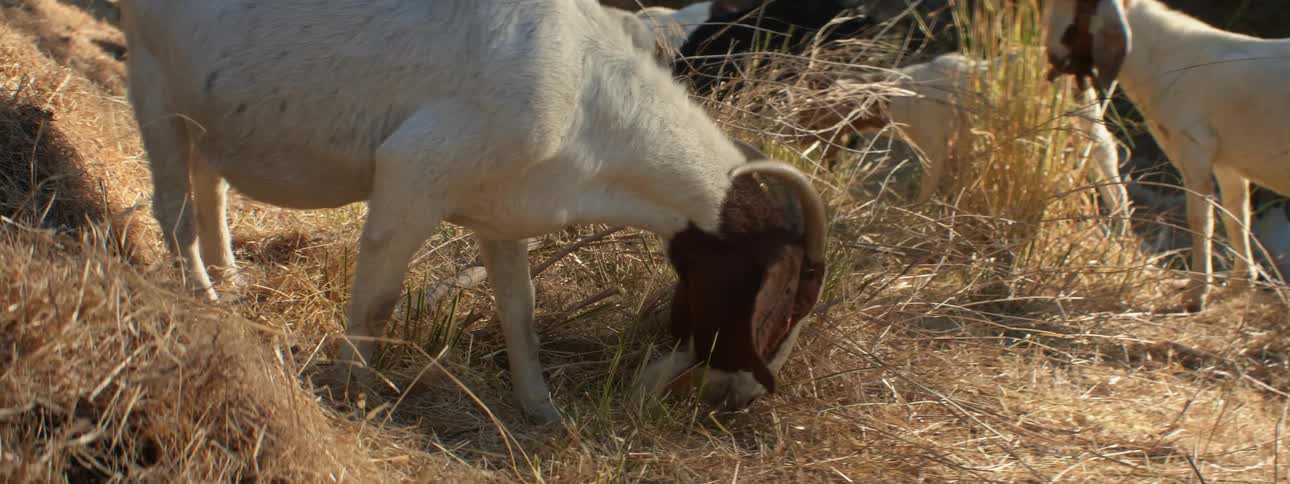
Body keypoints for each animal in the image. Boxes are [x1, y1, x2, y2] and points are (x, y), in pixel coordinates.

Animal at [117, 0, 829, 424]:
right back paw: (203, 298)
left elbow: (521, 311)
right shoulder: (413, 171)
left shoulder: (502, 212)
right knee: (173, 206)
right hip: (152, 73)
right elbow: (379, 301)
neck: (595, 105)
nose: (739, 397)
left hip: (208, 108)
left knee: (210, 184)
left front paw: (541, 412)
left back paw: (234, 286)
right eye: (785, 307)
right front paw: (350, 390)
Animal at [797, 53, 1131, 226]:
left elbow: (926, 191)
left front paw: (915, 219)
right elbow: (952, 189)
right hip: (1086, 124)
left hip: (1079, 125)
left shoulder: (934, 146)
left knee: (1114, 185)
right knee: (1111, 178)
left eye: (807, 113)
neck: (890, 97)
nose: (796, 135)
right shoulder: (960, 145)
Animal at [1045, 0, 1290, 311]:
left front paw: (1196, 295)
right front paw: (1238, 284)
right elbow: (1236, 215)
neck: (1163, 57)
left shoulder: (1193, 146)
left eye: (1074, 20)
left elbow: (1200, 219)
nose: (1053, 60)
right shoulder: (1227, 160)